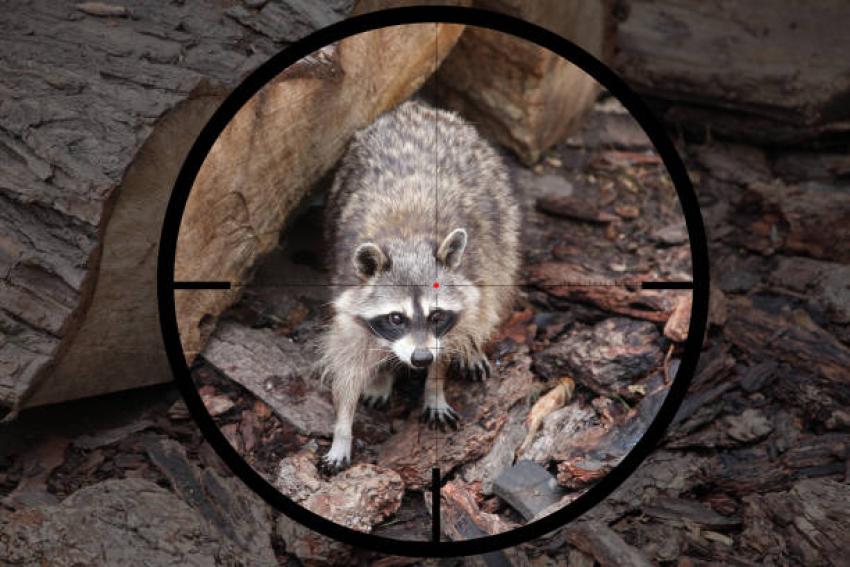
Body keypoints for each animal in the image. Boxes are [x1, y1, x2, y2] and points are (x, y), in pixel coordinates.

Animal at [318, 100, 520, 471]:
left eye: (436, 315)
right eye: (396, 318)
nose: (421, 358)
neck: (407, 240)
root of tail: (417, 107)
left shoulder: (468, 279)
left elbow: (455, 332)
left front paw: (435, 384)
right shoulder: (347, 293)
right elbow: (348, 362)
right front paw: (343, 428)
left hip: (501, 220)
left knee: (493, 292)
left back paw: (472, 344)